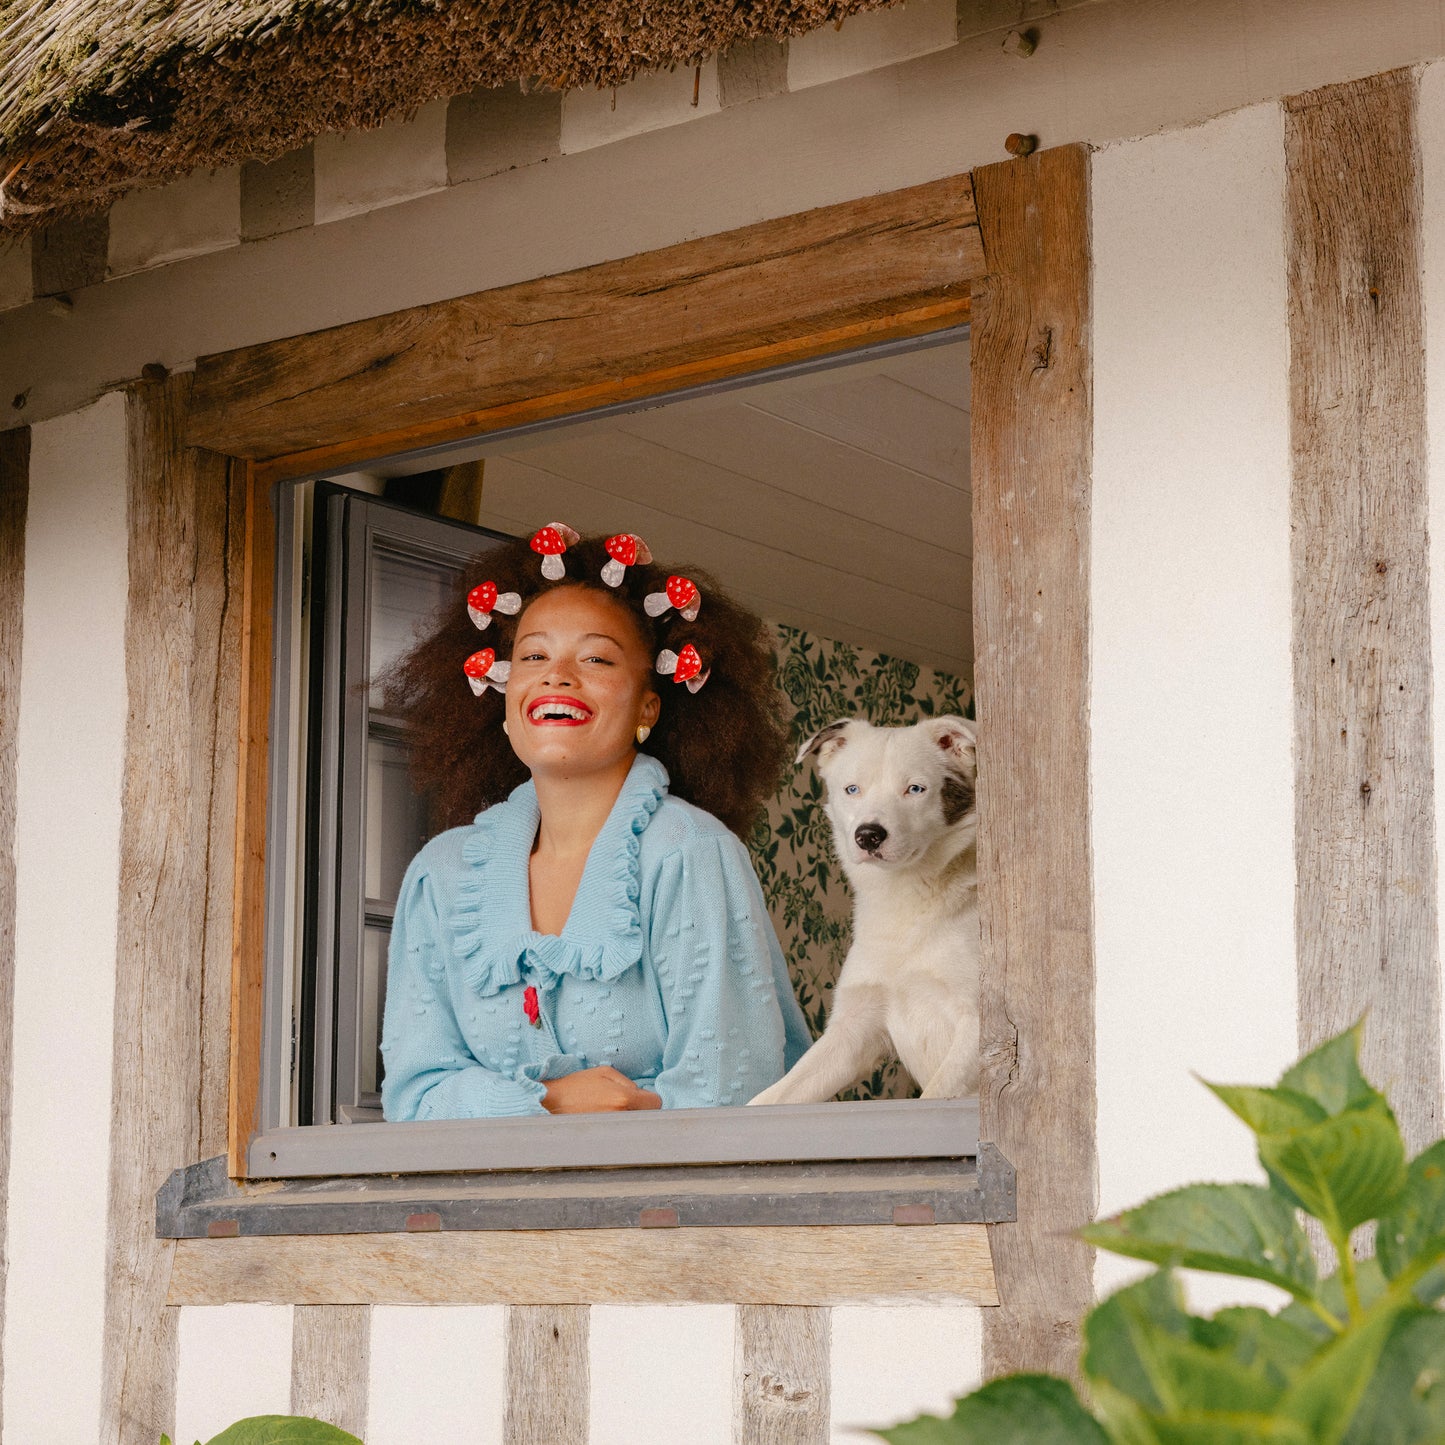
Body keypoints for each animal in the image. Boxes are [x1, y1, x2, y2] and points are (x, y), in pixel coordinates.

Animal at [751, 713, 976, 1103]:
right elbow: (773, 1096)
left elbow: (938, 1093)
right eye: (852, 789)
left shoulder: (982, 1025)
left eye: (915, 789)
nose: (868, 835)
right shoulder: (854, 1028)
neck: (905, 900)